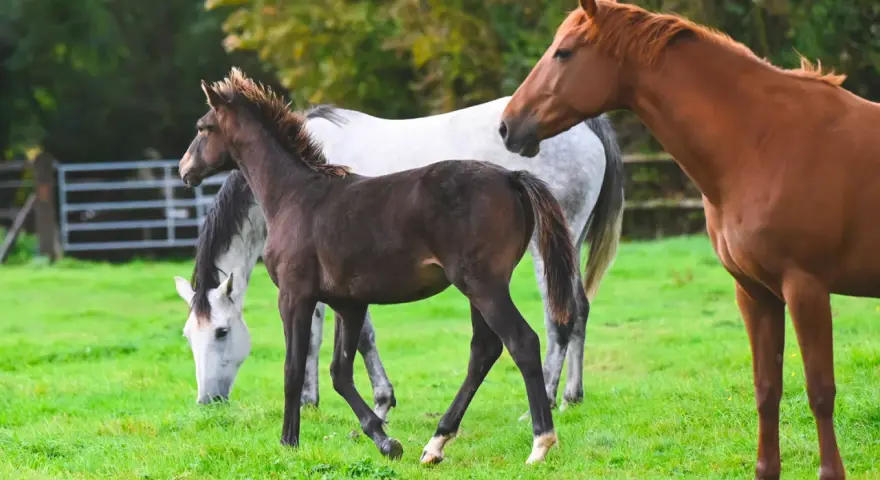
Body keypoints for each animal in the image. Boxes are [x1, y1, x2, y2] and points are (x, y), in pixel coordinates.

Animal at [178, 67, 581, 464]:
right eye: (187, 335)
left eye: (203, 127)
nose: (185, 169)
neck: (293, 195)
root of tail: (512, 177)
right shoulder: (349, 303)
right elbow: (340, 372)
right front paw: (385, 440)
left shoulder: (295, 296)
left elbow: (294, 368)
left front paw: (289, 442)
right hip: (481, 288)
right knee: (484, 351)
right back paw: (435, 444)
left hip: (483, 285)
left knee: (521, 341)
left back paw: (540, 442)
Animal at [499, 0, 880, 478]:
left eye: (564, 52)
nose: (507, 126)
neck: (763, 142)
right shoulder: (755, 293)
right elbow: (767, 389)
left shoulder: (806, 289)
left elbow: (820, 390)